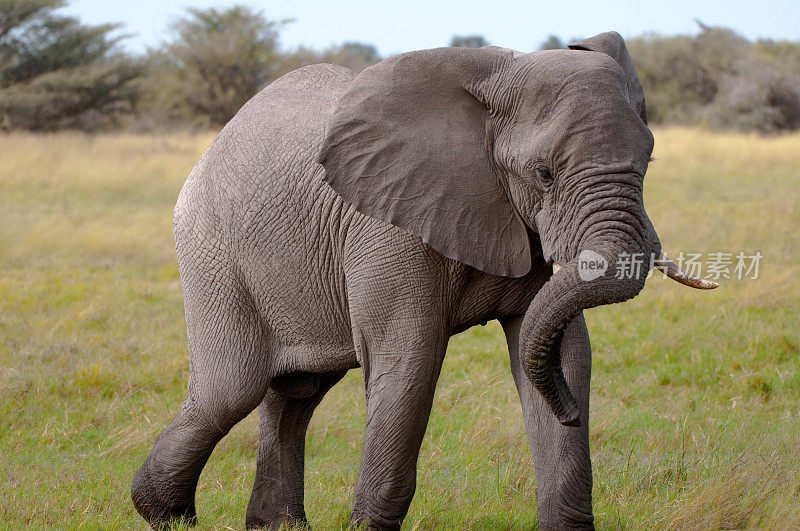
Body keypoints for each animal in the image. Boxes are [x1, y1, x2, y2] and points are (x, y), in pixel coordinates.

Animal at [131, 31, 720, 528]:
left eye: (649, 162)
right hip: (212, 250)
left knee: (296, 391)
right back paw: (166, 515)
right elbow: (410, 357)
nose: (574, 415)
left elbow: (564, 348)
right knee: (231, 389)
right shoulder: (389, 224)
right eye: (544, 174)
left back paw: (273, 526)